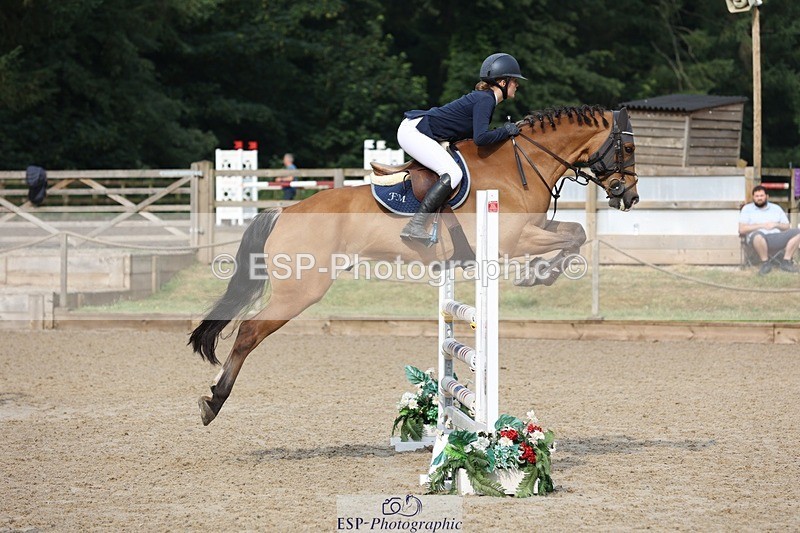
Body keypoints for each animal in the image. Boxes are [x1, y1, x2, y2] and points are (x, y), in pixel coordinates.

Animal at [189, 105, 639, 426]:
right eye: (629, 148)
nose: (629, 196)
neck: (519, 165)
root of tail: (284, 211)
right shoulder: (514, 240)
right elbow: (573, 235)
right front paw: (539, 274)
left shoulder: (535, 228)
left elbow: (576, 232)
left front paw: (543, 274)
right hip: (301, 290)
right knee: (249, 332)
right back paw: (214, 401)